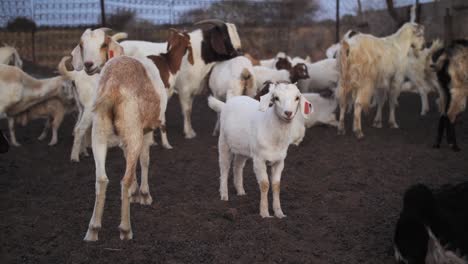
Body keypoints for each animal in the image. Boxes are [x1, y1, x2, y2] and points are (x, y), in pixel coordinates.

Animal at [207, 82, 310, 219]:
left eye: (297, 98)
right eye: (276, 98)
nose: (288, 113)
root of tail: (226, 104)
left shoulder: (279, 161)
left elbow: (276, 185)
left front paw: (279, 213)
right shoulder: (259, 159)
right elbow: (265, 184)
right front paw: (265, 214)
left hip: (243, 148)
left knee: (238, 166)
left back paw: (241, 191)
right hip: (224, 141)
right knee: (224, 167)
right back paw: (224, 195)